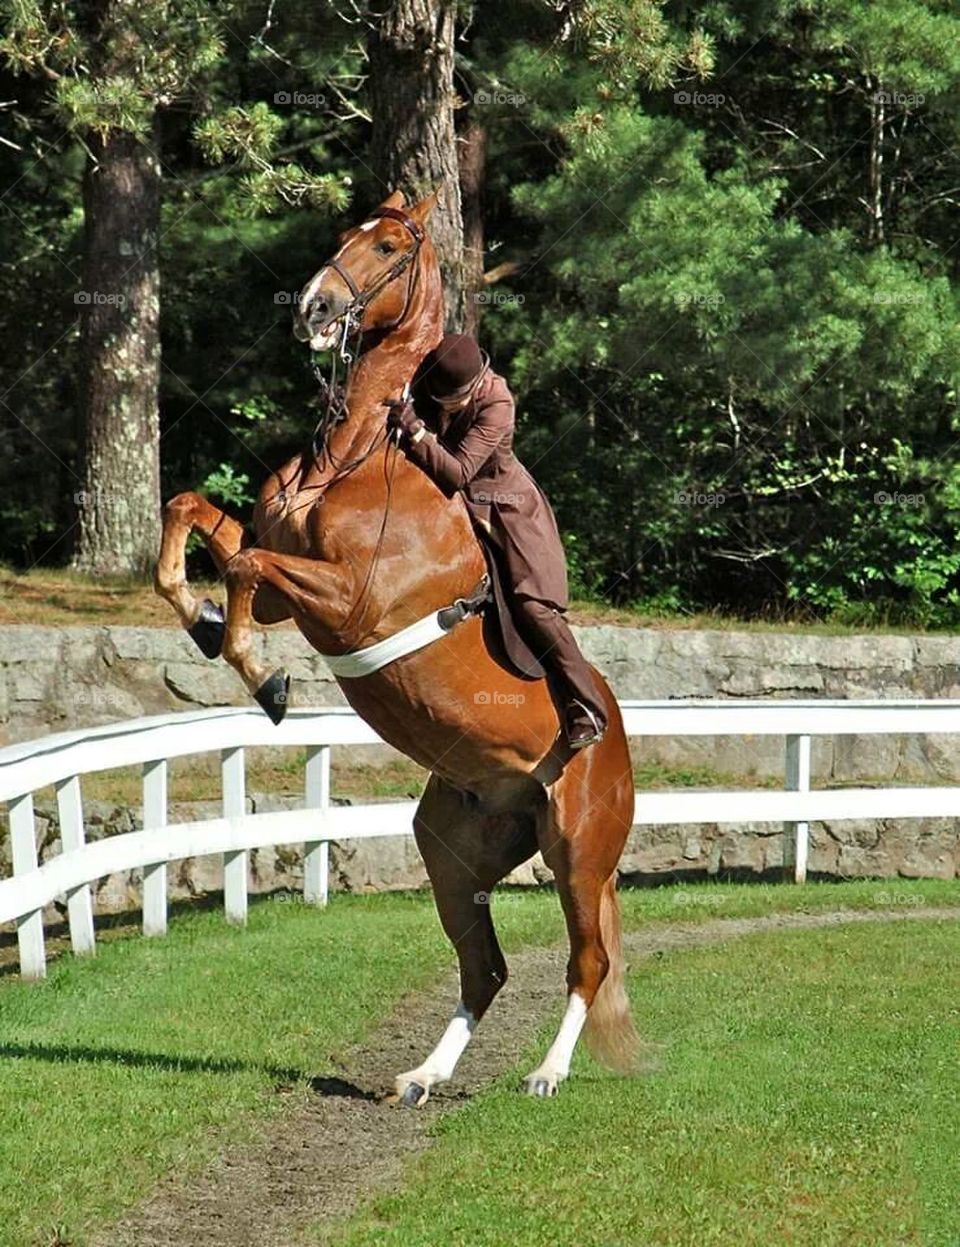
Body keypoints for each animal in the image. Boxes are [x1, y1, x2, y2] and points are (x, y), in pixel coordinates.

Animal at [155, 190, 639, 1101]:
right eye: (344, 234)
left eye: (386, 247)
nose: (312, 307)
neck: (358, 455)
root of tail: (621, 741)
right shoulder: (292, 590)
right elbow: (195, 516)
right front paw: (203, 621)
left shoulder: (349, 603)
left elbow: (241, 561)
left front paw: (265, 681)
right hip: (452, 849)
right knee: (484, 968)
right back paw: (422, 1075)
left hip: (579, 854)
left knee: (586, 961)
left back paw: (546, 1072)